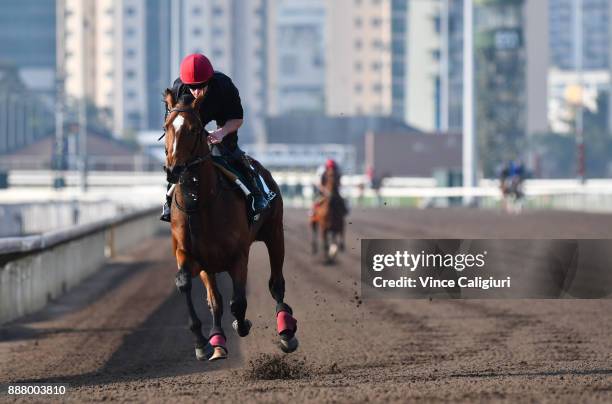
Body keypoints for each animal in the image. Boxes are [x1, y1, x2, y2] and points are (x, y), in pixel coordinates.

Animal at [161, 90, 298, 360]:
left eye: (194, 129)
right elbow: (191, 287)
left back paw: (286, 330)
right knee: (216, 299)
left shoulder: (238, 255)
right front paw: (202, 341)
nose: (173, 170)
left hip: (274, 233)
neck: (200, 203)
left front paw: (242, 324)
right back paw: (217, 339)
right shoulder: (192, 256)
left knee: (276, 283)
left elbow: (238, 302)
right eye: (166, 127)